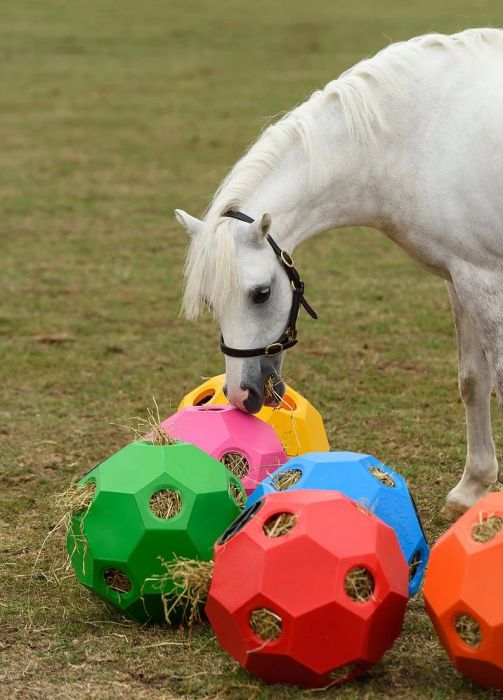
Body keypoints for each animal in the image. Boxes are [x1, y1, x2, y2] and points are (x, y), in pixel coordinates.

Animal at [176, 28, 503, 520]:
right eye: (213, 303)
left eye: (260, 293)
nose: (239, 397)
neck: (423, 136)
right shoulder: (459, 275)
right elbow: (473, 380)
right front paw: (472, 488)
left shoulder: (483, 277)